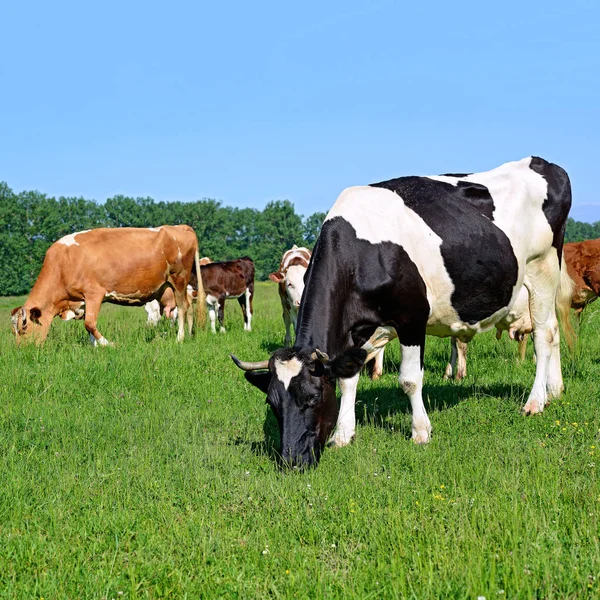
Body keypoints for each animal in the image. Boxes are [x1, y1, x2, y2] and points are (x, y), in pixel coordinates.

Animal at [9, 225, 205, 344]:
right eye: (13, 332)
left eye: (24, 328)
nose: (23, 352)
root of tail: (179, 226)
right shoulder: (83, 300)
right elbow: (88, 326)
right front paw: (94, 346)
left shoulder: (94, 293)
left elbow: (89, 323)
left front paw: (107, 343)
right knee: (188, 306)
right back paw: (190, 335)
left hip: (179, 278)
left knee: (182, 308)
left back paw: (180, 338)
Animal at [233, 158, 572, 468]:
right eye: (273, 404)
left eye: (313, 398)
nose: (292, 461)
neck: (363, 251)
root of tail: (541, 162)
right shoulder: (357, 329)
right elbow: (347, 379)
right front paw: (343, 434)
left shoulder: (412, 319)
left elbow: (409, 380)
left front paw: (420, 431)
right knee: (554, 331)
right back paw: (555, 390)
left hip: (543, 268)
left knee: (543, 336)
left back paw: (535, 402)